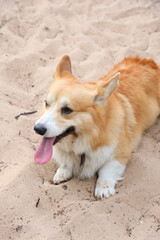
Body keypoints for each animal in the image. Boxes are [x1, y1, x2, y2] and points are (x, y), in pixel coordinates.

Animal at [34, 55, 160, 198]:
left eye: (67, 110)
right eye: (46, 103)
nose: (37, 129)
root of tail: (148, 61)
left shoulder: (121, 154)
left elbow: (107, 170)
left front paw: (103, 188)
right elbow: (65, 162)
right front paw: (62, 171)